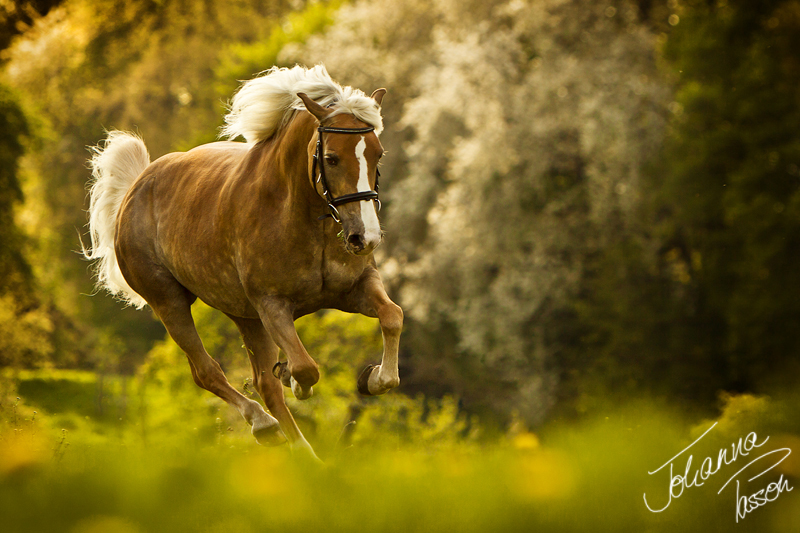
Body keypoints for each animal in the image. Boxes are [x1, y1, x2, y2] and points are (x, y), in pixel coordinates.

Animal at [84, 65, 404, 458]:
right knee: (209, 373)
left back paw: (303, 452)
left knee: (263, 382)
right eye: (331, 158)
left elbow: (392, 317)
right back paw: (267, 427)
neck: (304, 215)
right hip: (170, 303)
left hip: (244, 316)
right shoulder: (271, 304)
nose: (365, 238)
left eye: (378, 154)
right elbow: (306, 368)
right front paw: (297, 380)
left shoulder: (355, 289)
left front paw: (372, 378)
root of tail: (136, 187)